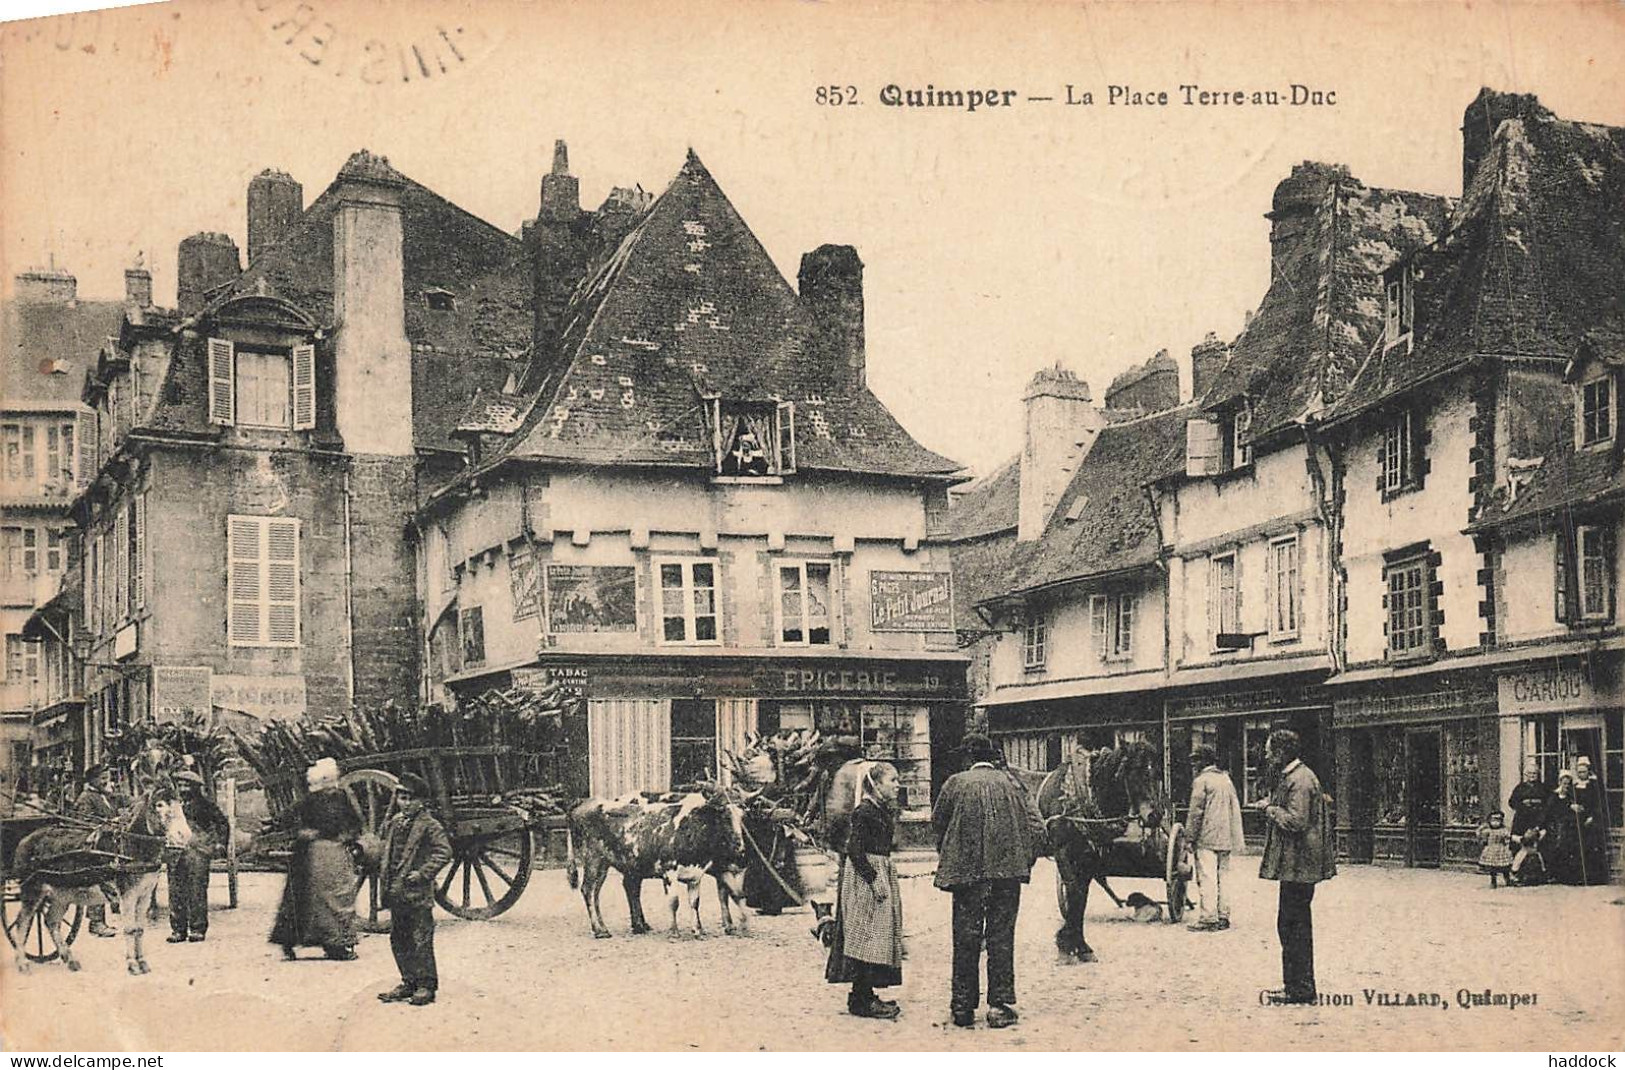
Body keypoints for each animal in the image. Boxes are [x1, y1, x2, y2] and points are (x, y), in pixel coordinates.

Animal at [11, 780, 175, 969]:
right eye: (159, 805)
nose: (183, 835)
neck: (130, 847)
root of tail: (24, 840)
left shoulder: (145, 894)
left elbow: (139, 929)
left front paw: (142, 962)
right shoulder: (127, 894)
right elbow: (130, 928)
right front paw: (133, 965)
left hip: (61, 894)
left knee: (51, 921)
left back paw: (70, 959)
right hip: (32, 889)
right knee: (22, 923)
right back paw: (22, 964)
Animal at [568, 790, 750, 936]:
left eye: (743, 816)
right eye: (723, 815)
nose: (739, 845)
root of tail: (586, 802)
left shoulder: (697, 874)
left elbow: (697, 902)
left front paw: (698, 930)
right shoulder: (669, 871)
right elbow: (674, 902)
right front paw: (674, 931)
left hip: (604, 864)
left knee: (598, 892)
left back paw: (609, 927)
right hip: (592, 858)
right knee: (588, 890)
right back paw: (599, 930)